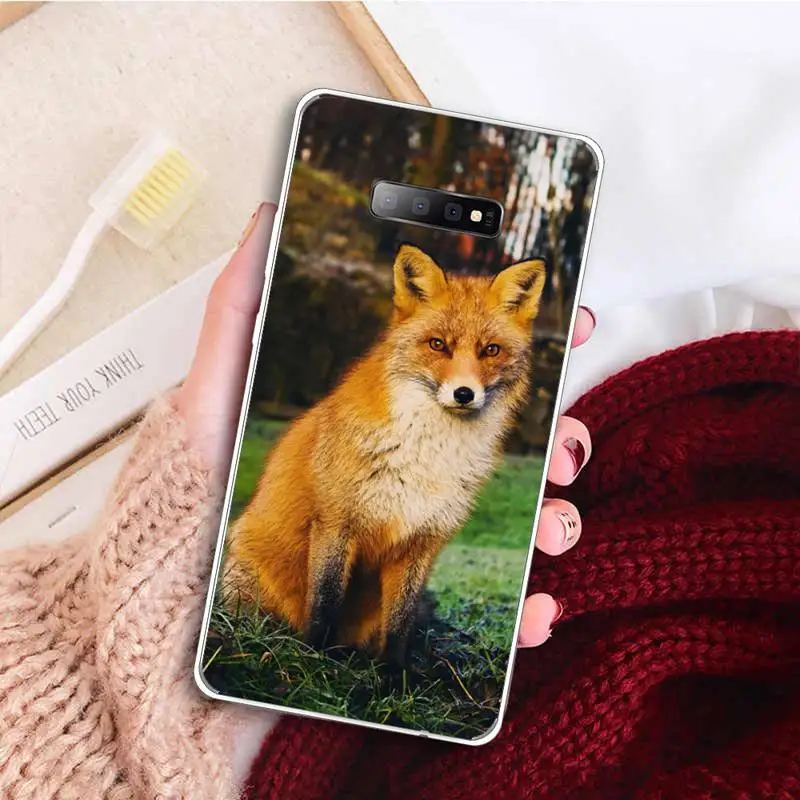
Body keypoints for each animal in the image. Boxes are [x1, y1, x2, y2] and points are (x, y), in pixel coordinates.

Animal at [223, 244, 546, 665]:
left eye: (490, 350)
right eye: (438, 344)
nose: (464, 394)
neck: (428, 455)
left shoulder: (421, 542)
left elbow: (400, 623)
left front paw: (395, 674)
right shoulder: (336, 523)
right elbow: (325, 604)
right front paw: (315, 658)